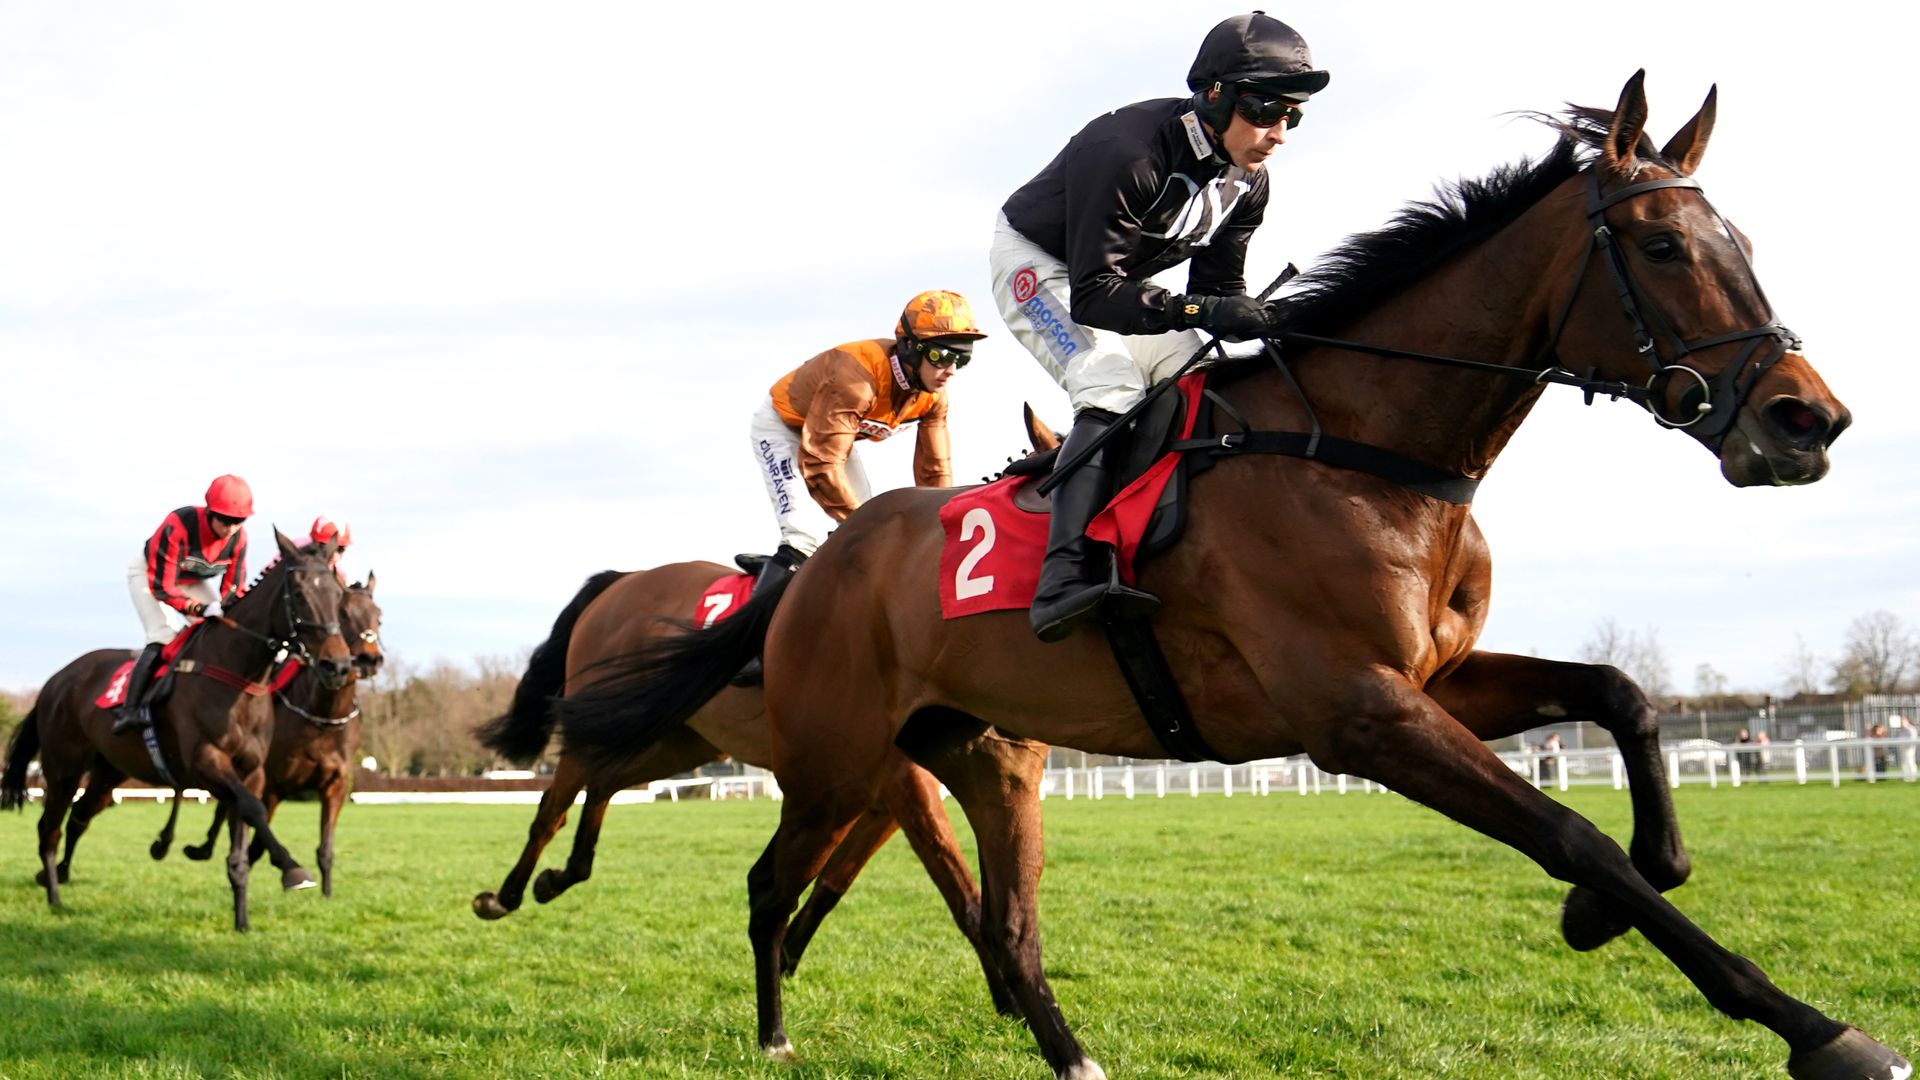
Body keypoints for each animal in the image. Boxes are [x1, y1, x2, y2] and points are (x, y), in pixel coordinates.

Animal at [3, 534, 353, 930]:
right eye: (298, 591)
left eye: (339, 594)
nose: (338, 666)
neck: (237, 673)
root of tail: (55, 681)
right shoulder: (206, 761)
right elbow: (253, 809)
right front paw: (292, 868)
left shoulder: (251, 771)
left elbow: (242, 835)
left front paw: (242, 921)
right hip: (63, 769)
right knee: (49, 829)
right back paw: (54, 897)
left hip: (108, 771)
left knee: (79, 816)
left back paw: (57, 878)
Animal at [154, 576, 385, 895]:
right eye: (343, 614)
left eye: (379, 616)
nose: (368, 659)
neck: (323, 718)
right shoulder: (272, 784)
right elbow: (255, 842)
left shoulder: (336, 783)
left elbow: (325, 849)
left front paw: (326, 896)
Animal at [552, 77, 1904, 1076]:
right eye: (1666, 245)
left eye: (1742, 241)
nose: (1808, 420)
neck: (1362, 443)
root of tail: (817, 565)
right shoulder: (1356, 713)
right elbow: (1573, 835)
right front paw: (1819, 1030)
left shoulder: (1427, 680)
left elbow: (1619, 698)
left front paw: (1624, 897)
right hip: (838, 753)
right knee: (770, 883)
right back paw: (773, 1033)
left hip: (980, 753)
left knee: (1003, 922)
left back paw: (1068, 1052)